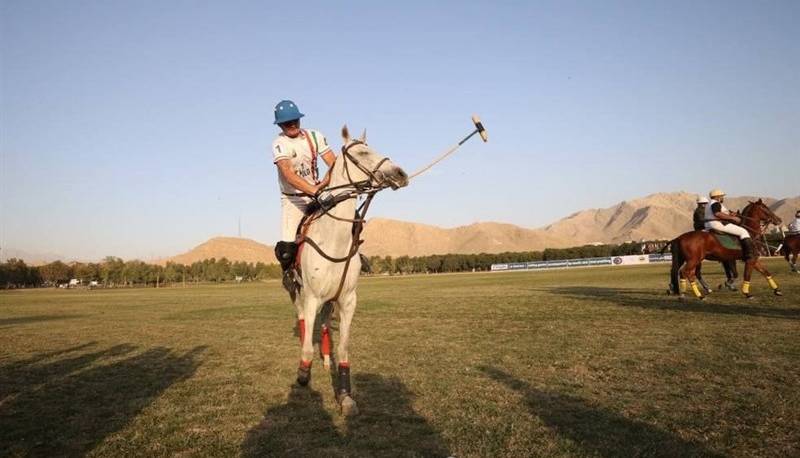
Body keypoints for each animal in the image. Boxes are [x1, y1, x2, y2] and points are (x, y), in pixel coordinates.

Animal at [292, 126, 406, 416]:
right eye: (363, 152)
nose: (401, 173)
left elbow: (343, 349)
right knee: (304, 323)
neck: (335, 240)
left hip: (329, 301)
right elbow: (306, 348)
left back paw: (325, 359)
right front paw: (303, 376)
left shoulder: (347, 299)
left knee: (322, 326)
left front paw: (345, 396)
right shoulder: (311, 297)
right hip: (297, 292)